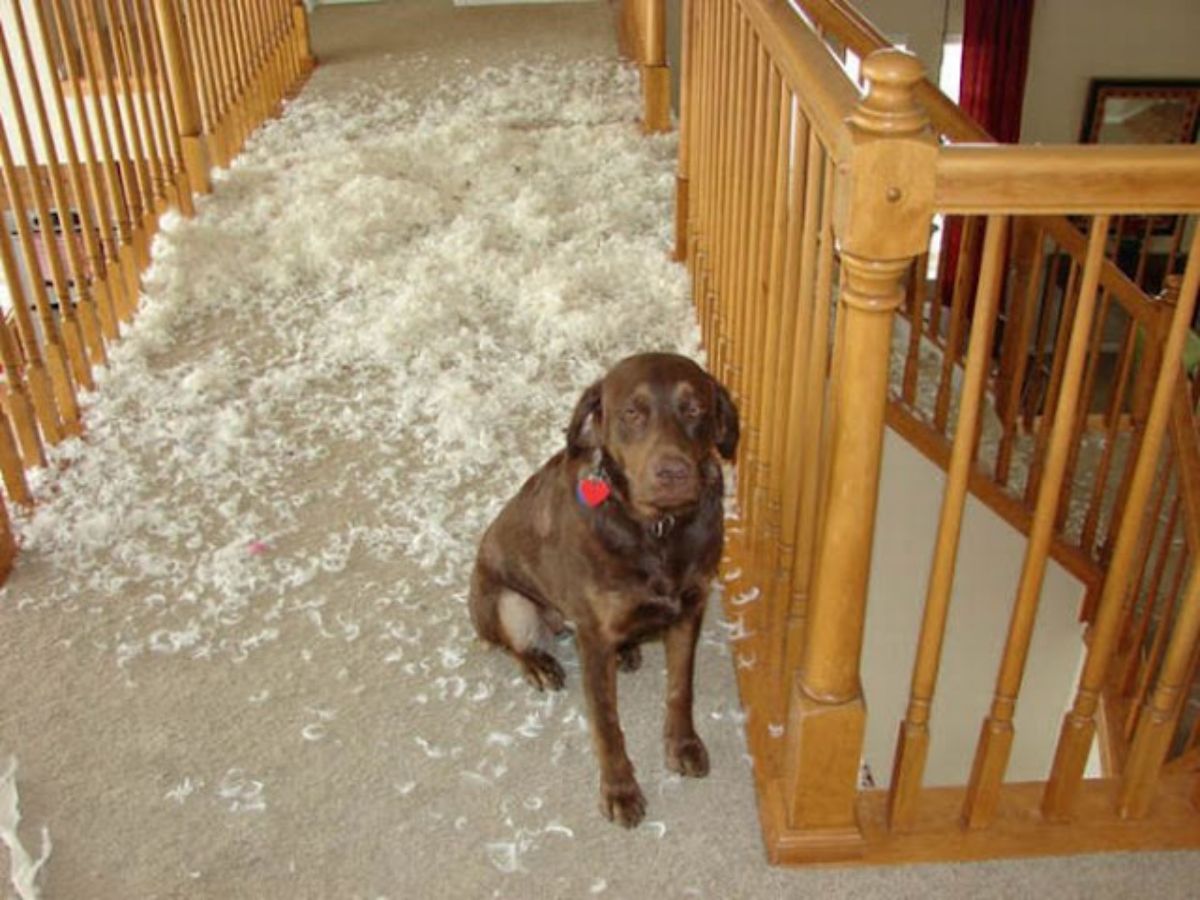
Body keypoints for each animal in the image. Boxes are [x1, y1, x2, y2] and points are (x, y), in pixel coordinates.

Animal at [470, 350, 739, 825]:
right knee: (511, 643)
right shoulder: (593, 637)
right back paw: (539, 664)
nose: (672, 471)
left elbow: (681, 689)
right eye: (632, 413)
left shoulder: (689, 609)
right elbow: (607, 723)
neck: (658, 531)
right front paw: (620, 789)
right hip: (507, 603)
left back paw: (628, 650)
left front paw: (683, 745)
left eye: (695, 409)